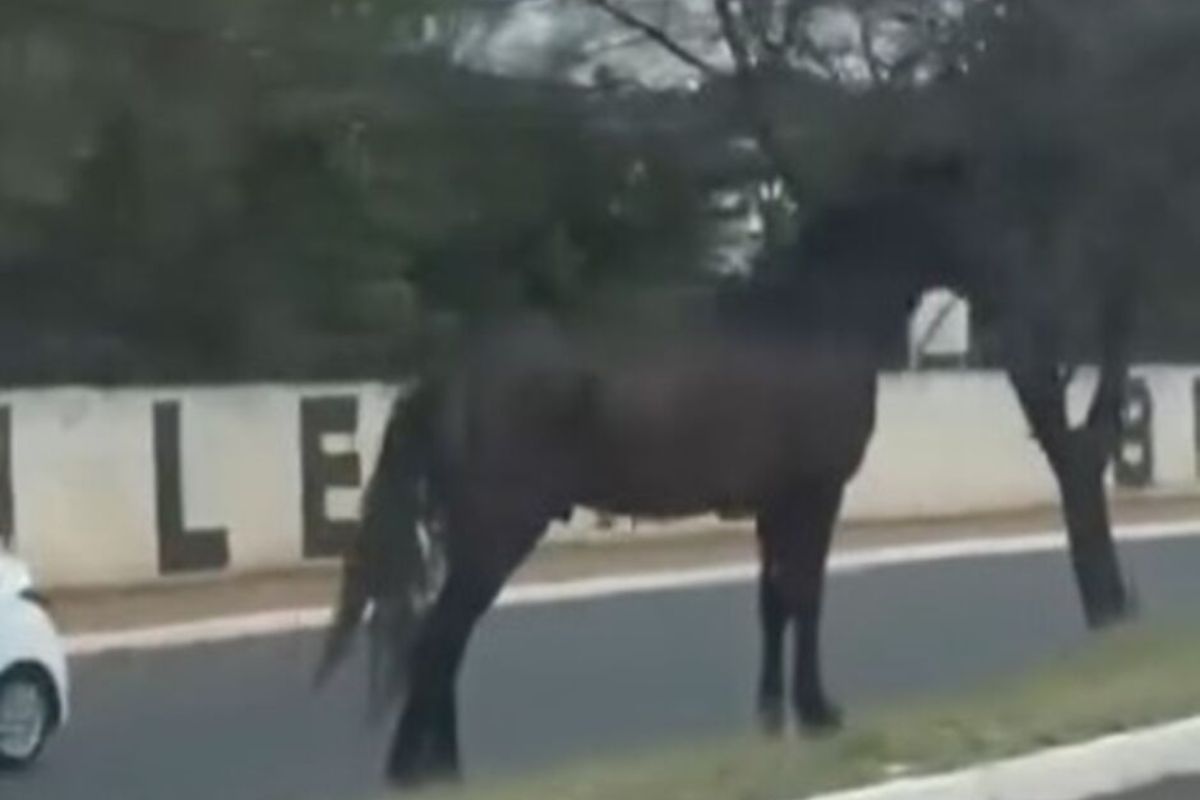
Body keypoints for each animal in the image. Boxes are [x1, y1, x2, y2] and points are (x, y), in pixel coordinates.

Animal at [316, 191, 934, 788]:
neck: (811, 322)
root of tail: (447, 375)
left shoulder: (774, 507)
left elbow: (773, 603)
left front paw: (772, 717)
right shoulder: (814, 497)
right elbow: (806, 598)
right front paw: (817, 713)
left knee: (447, 638)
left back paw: (444, 766)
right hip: (498, 532)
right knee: (441, 636)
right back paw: (414, 769)